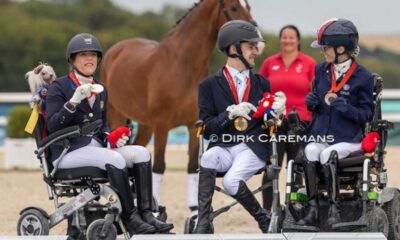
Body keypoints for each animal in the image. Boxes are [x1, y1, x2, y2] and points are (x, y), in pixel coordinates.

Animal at [101, 0, 255, 209]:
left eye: (249, 7)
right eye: (233, 8)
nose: (255, 38)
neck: (182, 65)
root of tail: (115, 50)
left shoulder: (194, 125)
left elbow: (192, 166)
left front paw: (194, 209)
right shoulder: (162, 125)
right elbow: (159, 166)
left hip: (146, 125)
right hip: (117, 115)